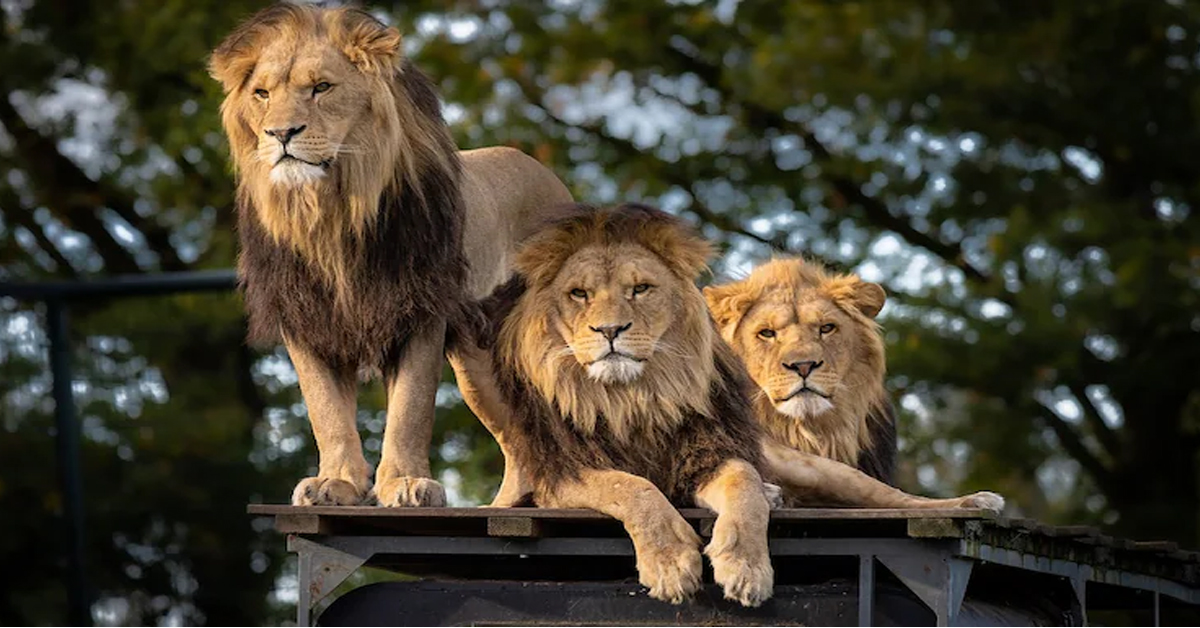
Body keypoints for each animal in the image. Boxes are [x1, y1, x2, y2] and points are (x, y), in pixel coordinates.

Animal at [209, 3, 573, 507]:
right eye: (262, 94)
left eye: (321, 87)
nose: (281, 133)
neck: (331, 214)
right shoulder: (305, 318)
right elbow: (325, 411)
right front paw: (336, 482)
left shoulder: (419, 309)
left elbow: (409, 410)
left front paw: (405, 483)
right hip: (478, 365)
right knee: (520, 443)